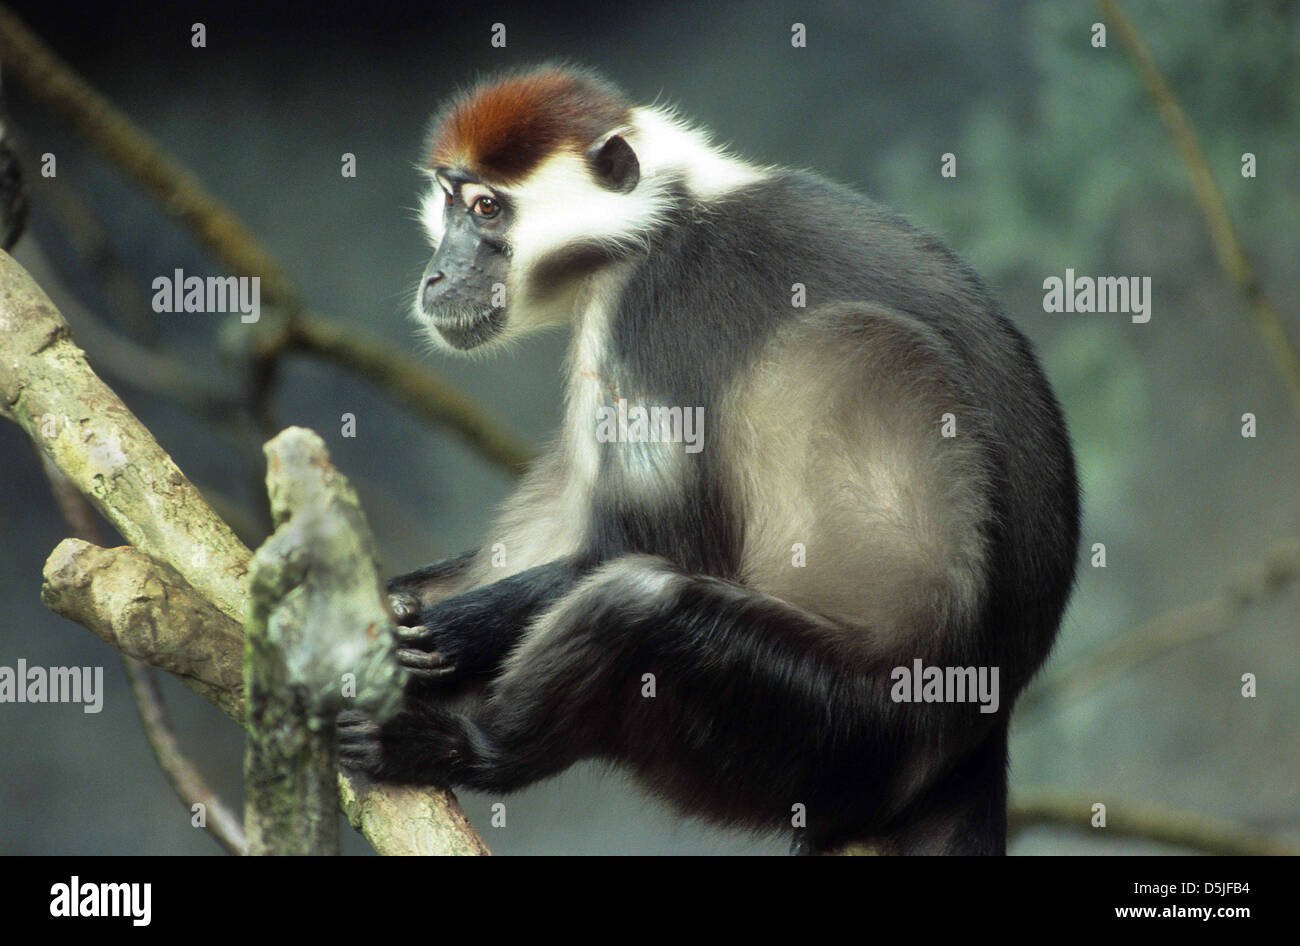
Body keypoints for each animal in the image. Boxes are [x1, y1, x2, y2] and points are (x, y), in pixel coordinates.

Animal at [335, 62, 1076, 852]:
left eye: (486, 208)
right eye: (450, 204)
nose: (438, 277)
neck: (661, 215)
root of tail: (975, 737)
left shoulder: (649, 310)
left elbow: (654, 545)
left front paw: (435, 635)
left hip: (840, 734)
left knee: (643, 602)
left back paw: (469, 749)